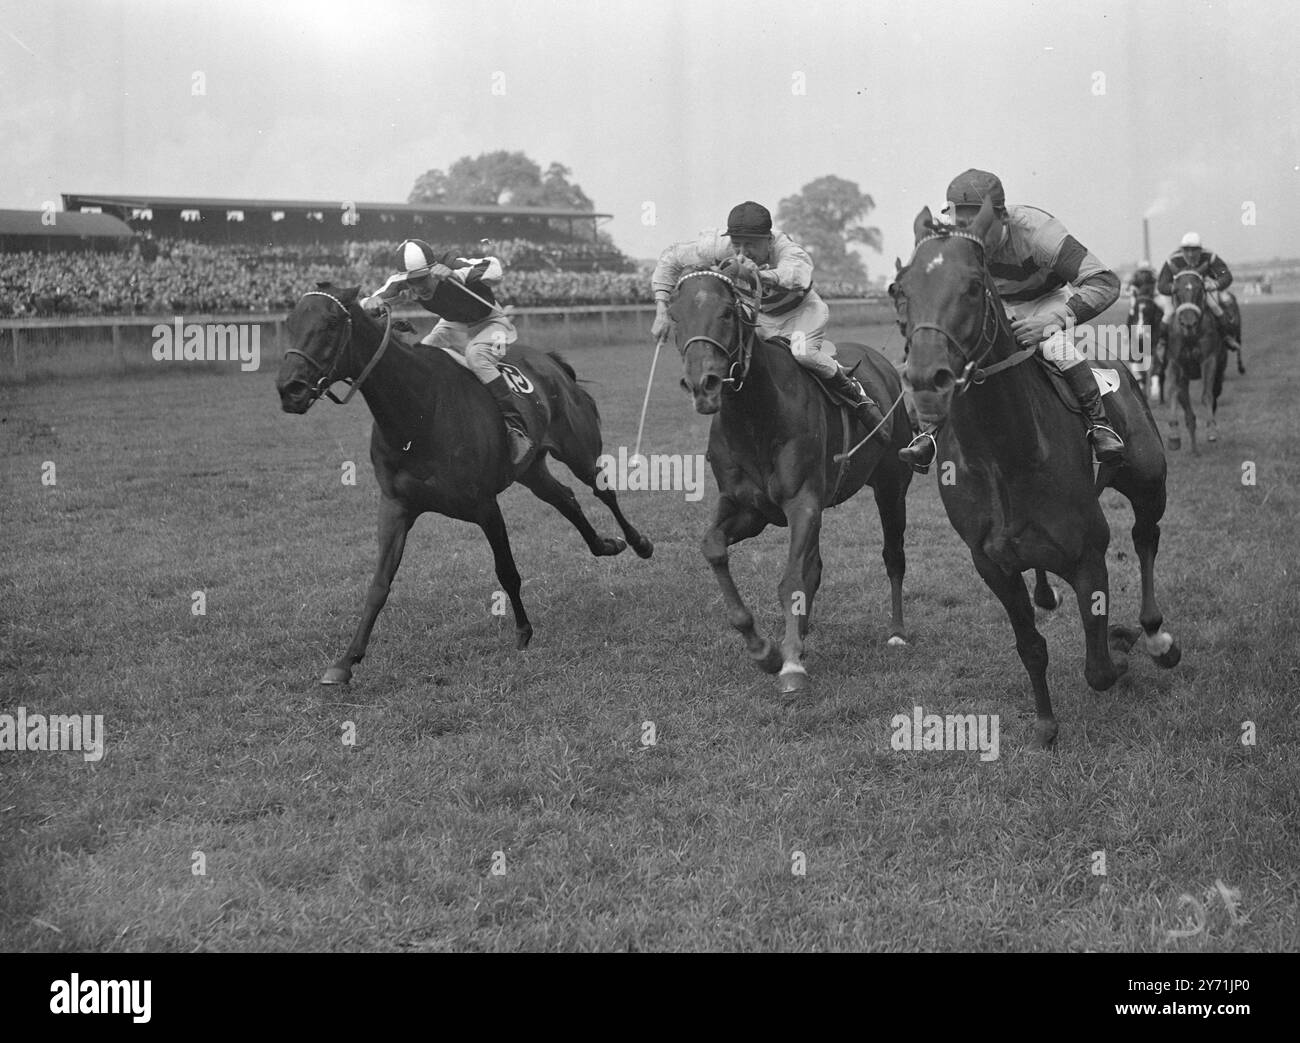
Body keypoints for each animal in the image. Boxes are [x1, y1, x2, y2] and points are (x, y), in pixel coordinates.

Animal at [278, 280, 655, 681]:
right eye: (290, 323)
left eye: (331, 323)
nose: (289, 389)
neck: (418, 412)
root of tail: (552, 362)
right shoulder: (395, 506)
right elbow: (379, 584)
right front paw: (345, 662)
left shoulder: (484, 504)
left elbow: (506, 570)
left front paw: (523, 632)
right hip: (531, 470)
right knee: (566, 498)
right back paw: (605, 545)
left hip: (578, 450)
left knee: (603, 491)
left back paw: (639, 543)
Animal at [670, 264, 915, 697]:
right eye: (675, 317)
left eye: (727, 313)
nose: (703, 383)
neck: (756, 418)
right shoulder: (748, 509)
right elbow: (713, 547)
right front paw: (766, 651)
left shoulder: (803, 502)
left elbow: (791, 580)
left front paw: (790, 665)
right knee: (815, 566)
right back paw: (800, 634)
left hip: (891, 485)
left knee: (893, 556)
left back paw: (896, 631)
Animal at [894, 197, 1180, 749]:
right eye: (901, 290)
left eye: (973, 285)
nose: (924, 380)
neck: (1003, 457)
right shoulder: (991, 564)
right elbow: (1030, 645)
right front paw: (1046, 722)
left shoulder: (1089, 552)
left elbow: (1100, 667)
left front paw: (1124, 643)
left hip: (1148, 483)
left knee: (1145, 536)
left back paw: (1155, 634)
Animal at [1164, 267, 1222, 449]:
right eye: (1175, 291)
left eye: (1201, 289)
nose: (1188, 323)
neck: (1190, 336)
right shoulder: (1176, 363)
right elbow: (1172, 392)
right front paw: (1174, 434)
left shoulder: (1209, 360)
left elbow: (1207, 395)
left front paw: (1211, 429)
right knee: (1187, 408)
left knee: (1214, 392)